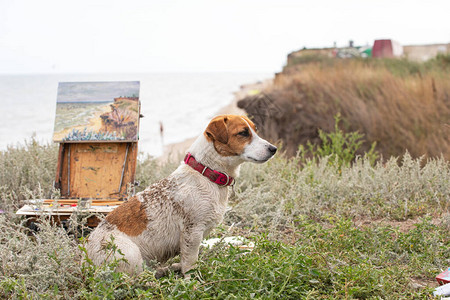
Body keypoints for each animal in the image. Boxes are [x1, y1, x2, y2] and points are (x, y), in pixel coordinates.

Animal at [85, 114, 276, 276]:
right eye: (243, 133)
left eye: (255, 130)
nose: (273, 149)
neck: (205, 173)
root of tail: (86, 259)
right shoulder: (192, 232)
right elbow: (190, 263)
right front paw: (193, 281)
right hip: (130, 253)